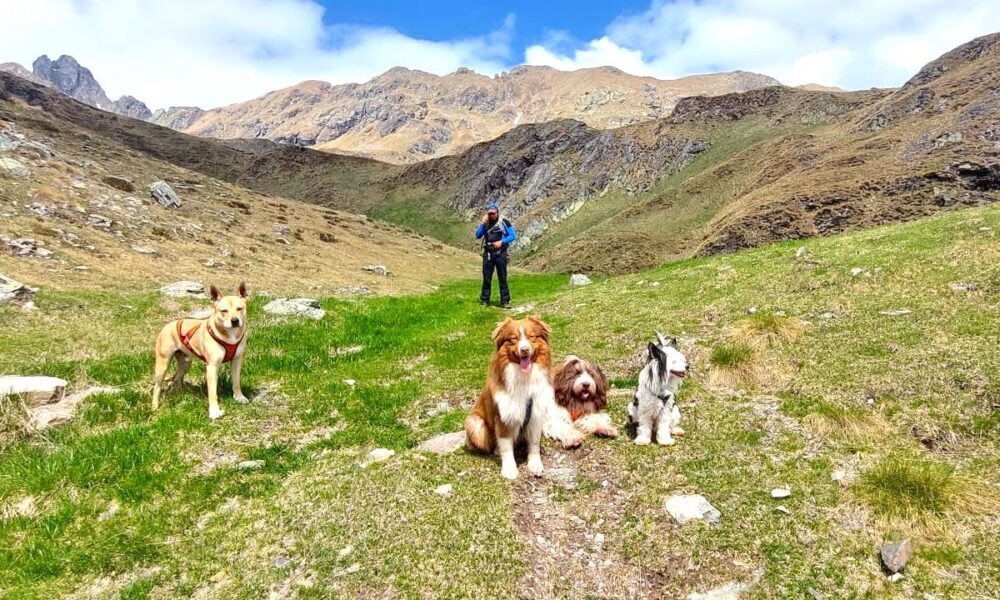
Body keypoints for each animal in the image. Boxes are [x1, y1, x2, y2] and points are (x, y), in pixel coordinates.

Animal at [154, 282, 254, 418]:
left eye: (240, 308)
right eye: (224, 311)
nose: (235, 321)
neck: (229, 335)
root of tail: (168, 325)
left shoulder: (237, 360)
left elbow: (236, 382)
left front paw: (239, 397)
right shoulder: (212, 366)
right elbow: (212, 392)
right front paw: (214, 411)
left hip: (185, 363)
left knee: (176, 378)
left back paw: (178, 394)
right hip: (162, 364)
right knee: (157, 386)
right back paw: (155, 406)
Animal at [466, 316, 556, 480]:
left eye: (532, 337)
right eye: (513, 339)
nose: (525, 349)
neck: (524, 379)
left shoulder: (536, 414)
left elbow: (534, 443)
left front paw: (535, 464)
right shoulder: (503, 417)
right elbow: (506, 447)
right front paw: (509, 469)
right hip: (474, 423)